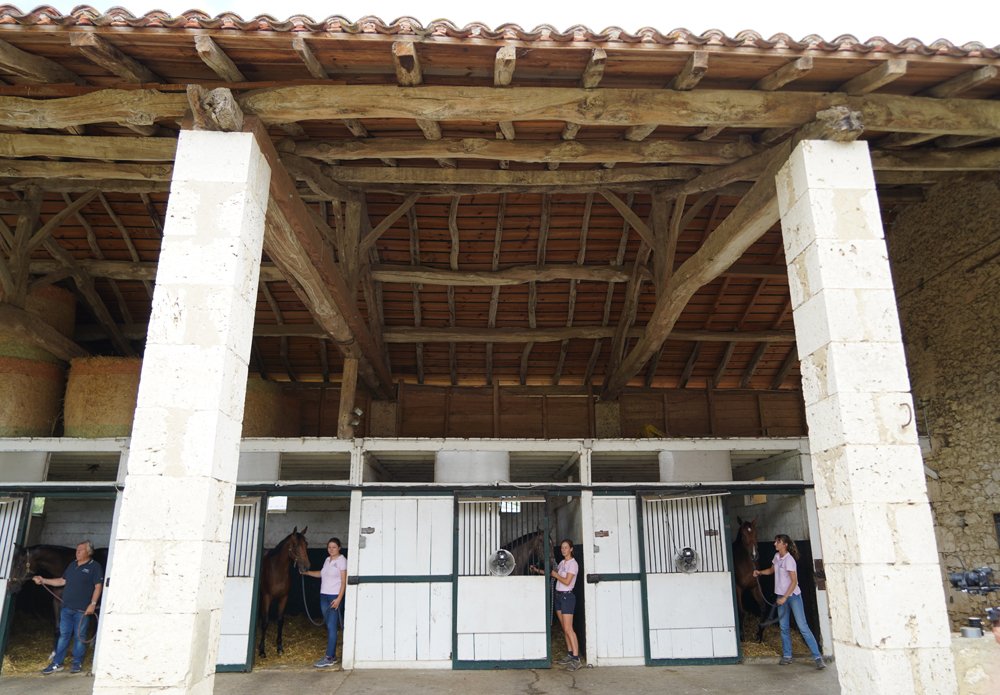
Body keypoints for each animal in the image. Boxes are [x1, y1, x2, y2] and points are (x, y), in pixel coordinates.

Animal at [257, 527, 310, 657]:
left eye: (306, 544)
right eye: (295, 545)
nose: (306, 567)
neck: (277, 571)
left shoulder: (284, 598)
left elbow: (280, 621)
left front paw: (279, 647)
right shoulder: (266, 597)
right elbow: (265, 622)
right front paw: (262, 650)